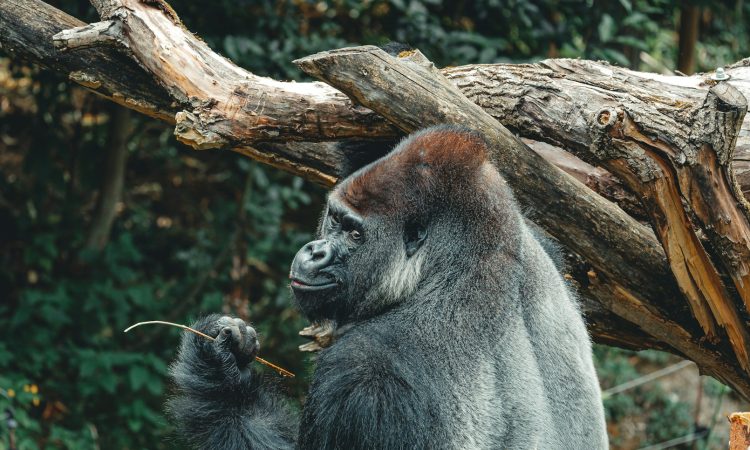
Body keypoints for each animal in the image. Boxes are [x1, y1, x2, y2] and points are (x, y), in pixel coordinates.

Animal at [168, 126, 609, 449]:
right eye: (333, 219)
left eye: (354, 233)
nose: (314, 252)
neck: (464, 262)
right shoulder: (539, 241)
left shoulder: (365, 375)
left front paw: (220, 377)